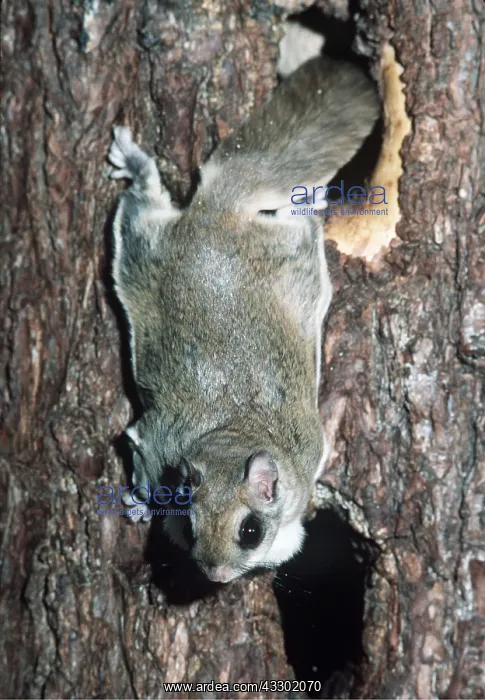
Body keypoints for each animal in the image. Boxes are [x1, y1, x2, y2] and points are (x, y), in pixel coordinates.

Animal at [108, 25, 379, 583]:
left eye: (249, 530)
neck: (229, 434)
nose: (214, 575)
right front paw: (141, 504)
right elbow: (140, 448)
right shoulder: (156, 444)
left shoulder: (306, 453)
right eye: (188, 528)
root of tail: (217, 213)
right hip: (149, 252)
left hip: (186, 252)